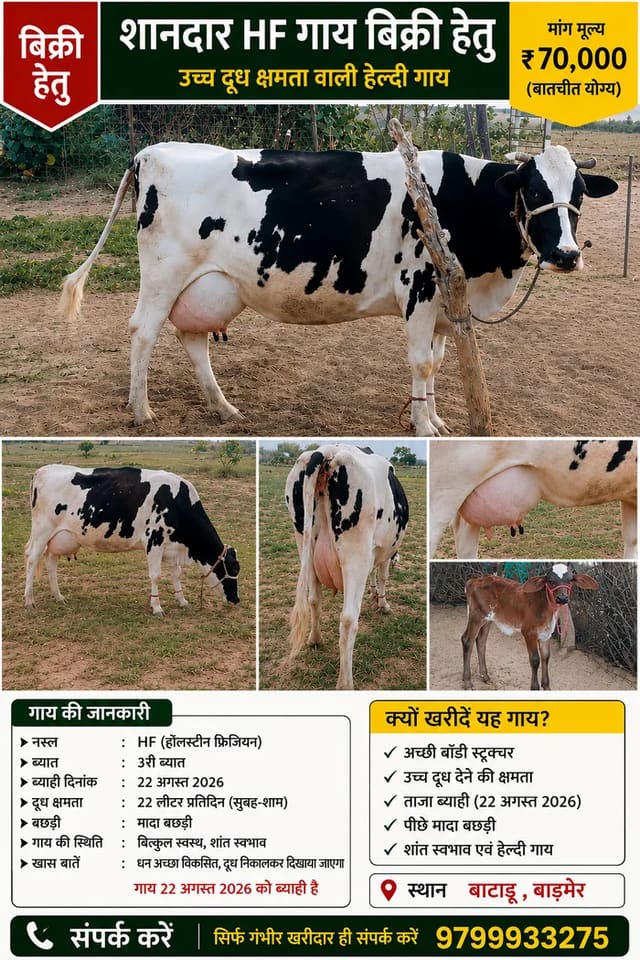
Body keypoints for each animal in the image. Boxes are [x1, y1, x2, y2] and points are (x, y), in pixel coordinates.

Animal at [24, 465, 240, 614]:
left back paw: (58, 597)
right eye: (234, 569)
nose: (236, 600)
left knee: (51, 563)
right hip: (42, 530)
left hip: (59, 538)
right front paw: (157, 606)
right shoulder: (155, 539)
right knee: (32, 559)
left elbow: (176, 574)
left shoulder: (171, 546)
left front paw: (182, 601)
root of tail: (43, 470)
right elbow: (156, 575)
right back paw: (29, 600)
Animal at [59, 141, 617, 436]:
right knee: (143, 332)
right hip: (164, 275)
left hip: (208, 285)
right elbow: (422, 363)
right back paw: (141, 410)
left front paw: (435, 419)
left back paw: (223, 407)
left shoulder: (445, 302)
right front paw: (424, 427)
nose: (568, 254)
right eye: (535, 189)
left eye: (580, 193)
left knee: (192, 338)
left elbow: (437, 364)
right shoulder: (419, 287)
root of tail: (152, 151)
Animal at [284, 444, 409, 690]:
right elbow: (382, 576)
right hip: (355, 556)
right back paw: (345, 683)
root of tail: (326, 452)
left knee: (313, 599)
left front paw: (373, 595)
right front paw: (383, 603)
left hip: (305, 545)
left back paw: (315, 639)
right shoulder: (383, 550)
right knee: (349, 620)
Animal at [461, 563, 599, 691]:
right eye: (550, 581)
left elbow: (546, 657)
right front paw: (535, 687)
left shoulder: (546, 634)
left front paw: (546, 686)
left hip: (488, 619)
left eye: (570, 580)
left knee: (481, 641)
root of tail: (473, 580)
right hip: (476, 616)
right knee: (467, 640)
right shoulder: (529, 632)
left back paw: (485, 676)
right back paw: (467, 682)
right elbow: (535, 659)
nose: (562, 598)